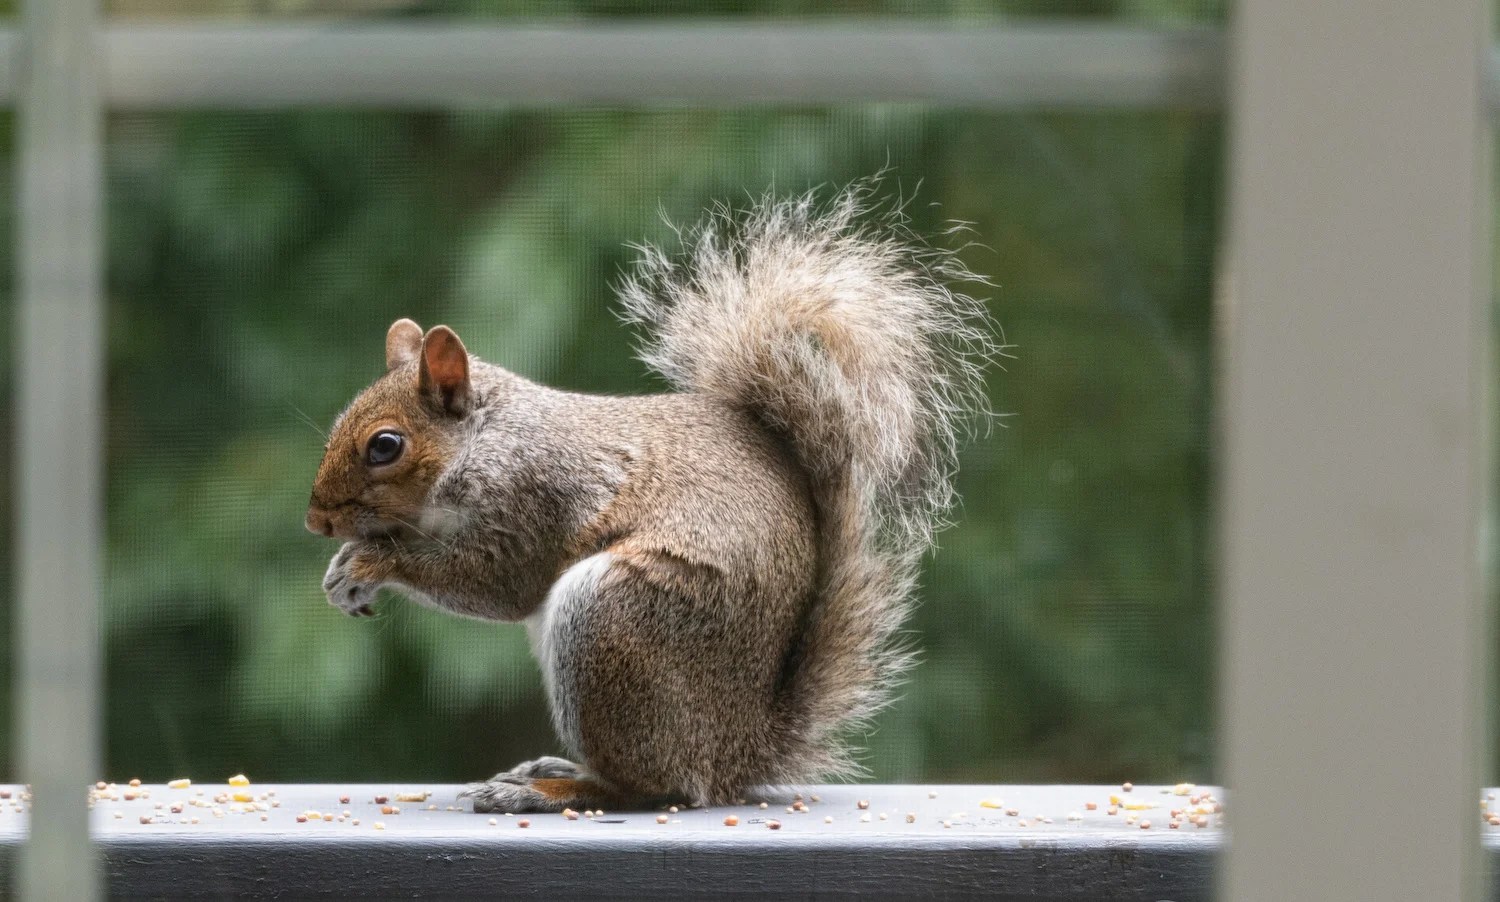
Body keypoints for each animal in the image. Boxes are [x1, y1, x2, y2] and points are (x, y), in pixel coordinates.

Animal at [305, 180, 996, 813]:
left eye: (385, 446)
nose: (317, 522)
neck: (484, 440)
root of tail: (735, 752)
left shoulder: (537, 494)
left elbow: (502, 584)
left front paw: (371, 563)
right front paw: (341, 571)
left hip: (614, 619)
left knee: (650, 787)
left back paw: (551, 790)